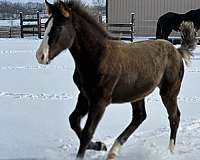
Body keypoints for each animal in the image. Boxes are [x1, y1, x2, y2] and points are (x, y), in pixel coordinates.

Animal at [36, 0, 197, 159]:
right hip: (137, 93)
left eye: (59, 27)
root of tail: (177, 51)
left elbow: (88, 132)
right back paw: (113, 151)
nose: (40, 56)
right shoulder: (85, 95)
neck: (97, 56)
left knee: (174, 117)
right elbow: (73, 121)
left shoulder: (100, 101)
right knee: (139, 117)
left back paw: (170, 151)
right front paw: (100, 145)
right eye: (46, 25)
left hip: (169, 92)